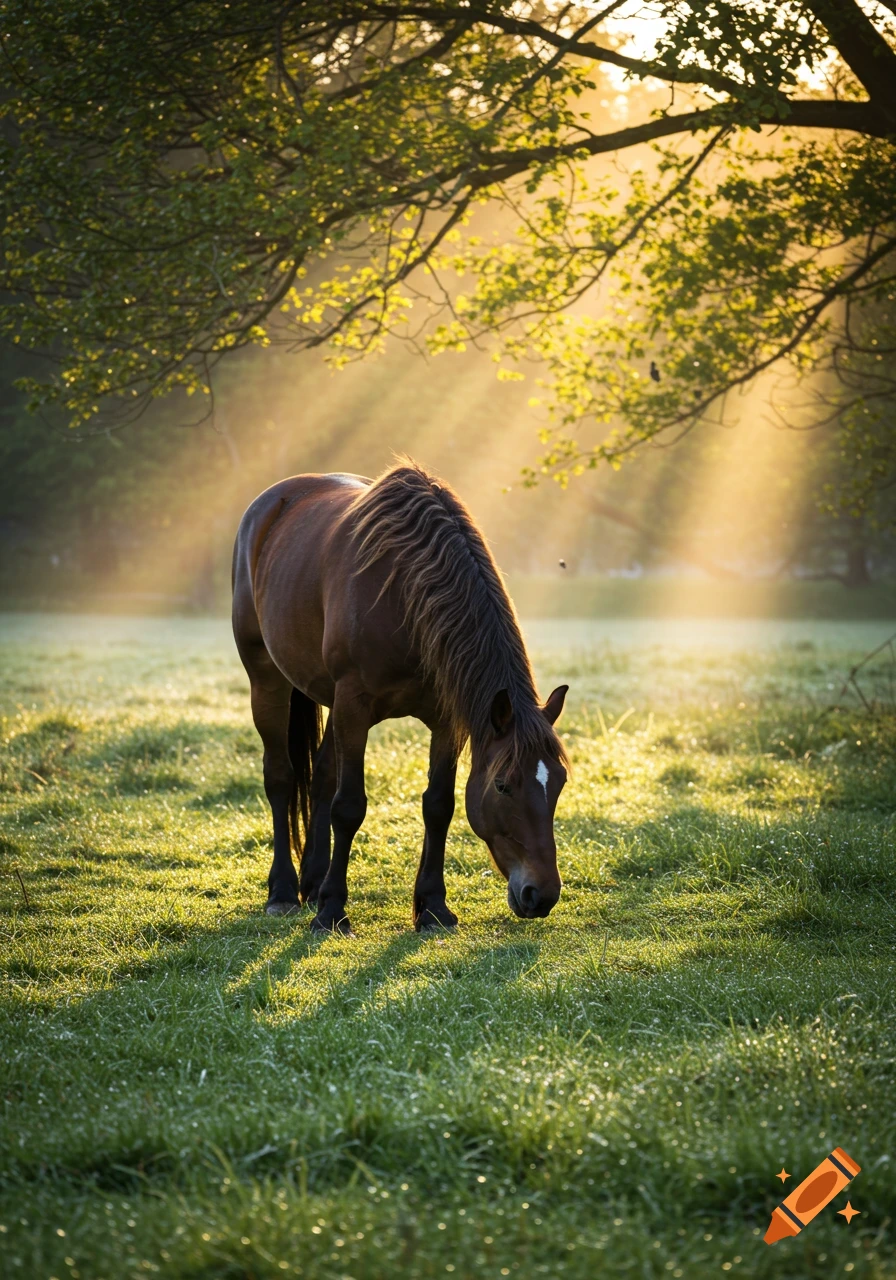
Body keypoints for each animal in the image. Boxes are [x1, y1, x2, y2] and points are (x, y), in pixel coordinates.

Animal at [232, 460, 569, 934]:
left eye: (558, 783)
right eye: (503, 785)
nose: (541, 895)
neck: (405, 595)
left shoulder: (447, 721)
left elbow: (439, 805)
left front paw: (434, 907)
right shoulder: (353, 706)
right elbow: (349, 807)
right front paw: (332, 910)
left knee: (320, 779)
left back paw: (312, 883)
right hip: (267, 680)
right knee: (280, 777)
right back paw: (283, 891)